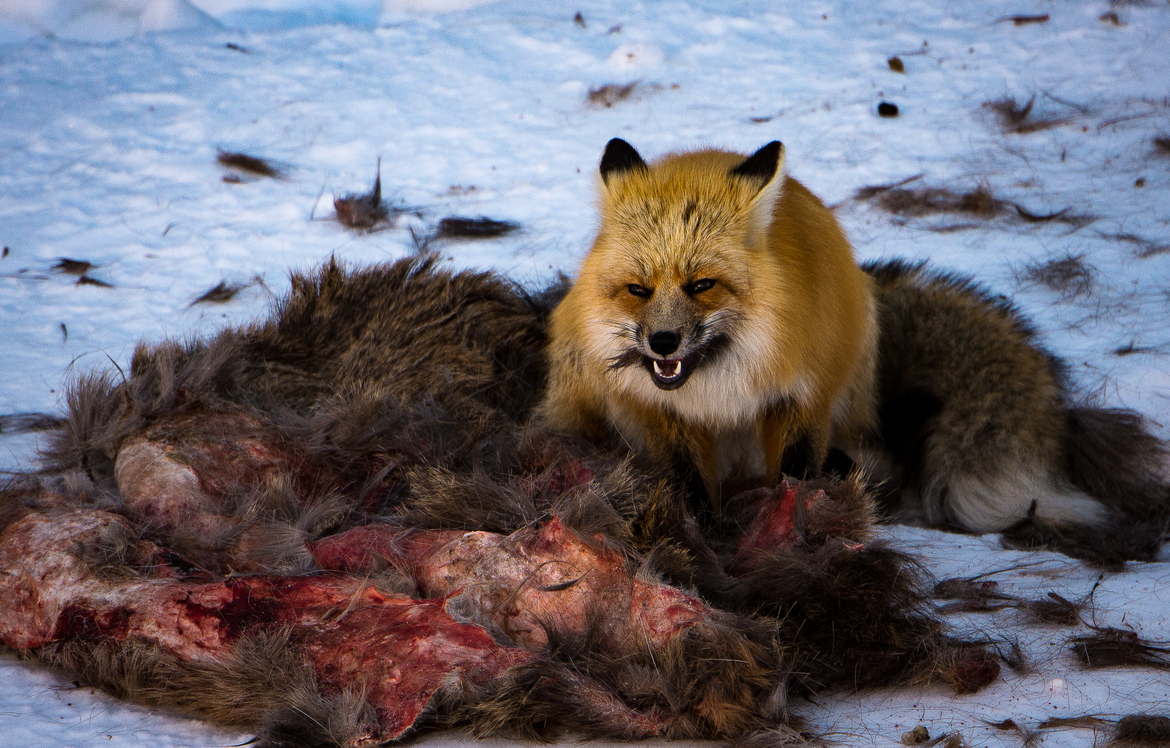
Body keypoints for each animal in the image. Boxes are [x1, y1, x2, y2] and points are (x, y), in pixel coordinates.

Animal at [542, 138, 1170, 556]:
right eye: (638, 290)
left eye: (701, 285)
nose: (662, 342)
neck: (720, 388)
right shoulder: (667, 418)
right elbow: (687, 482)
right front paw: (701, 531)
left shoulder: (803, 400)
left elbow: (797, 473)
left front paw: (796, 523)